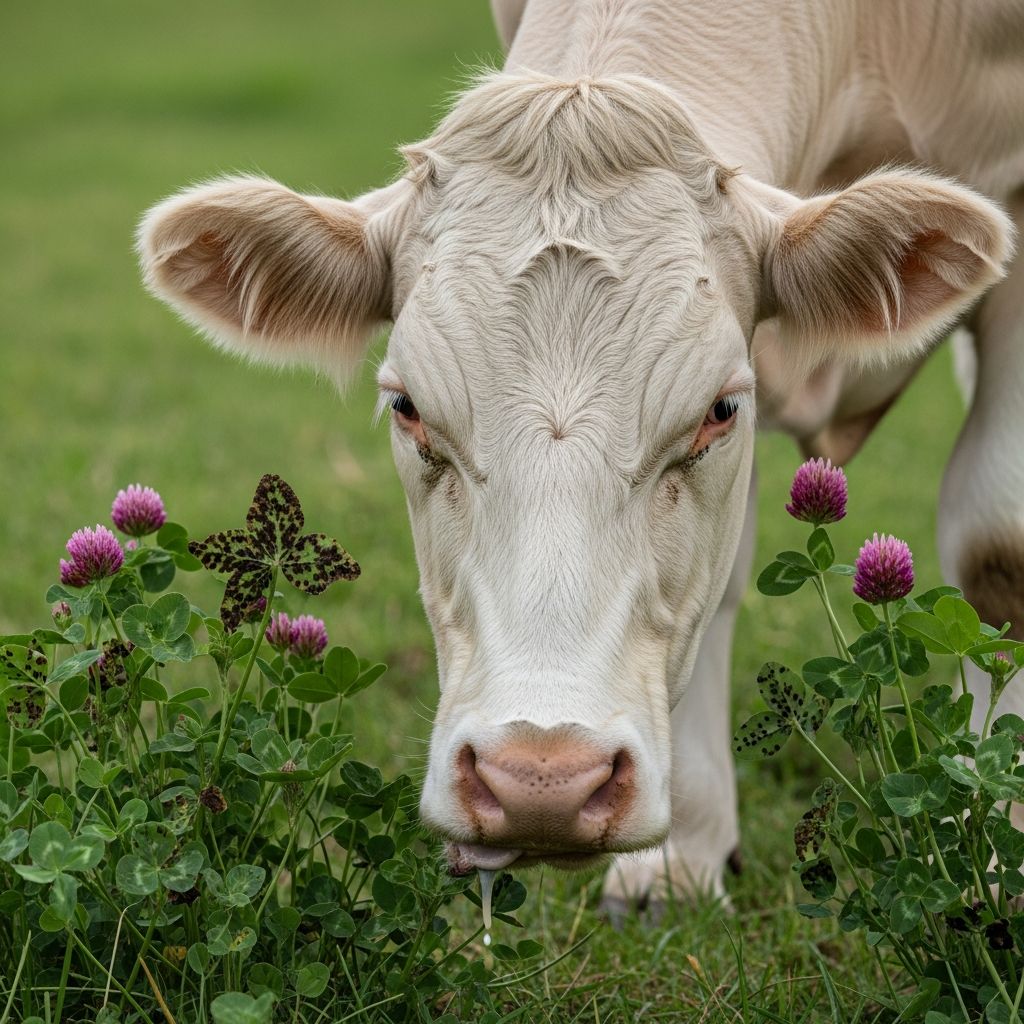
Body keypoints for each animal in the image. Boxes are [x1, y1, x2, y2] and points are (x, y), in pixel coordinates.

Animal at [138, 0, 1023, 911]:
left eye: (719, 410)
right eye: (408, 407)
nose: (542, 781)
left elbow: (998, 546)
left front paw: (998, 856)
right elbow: (717, 581)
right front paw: (684, 856)